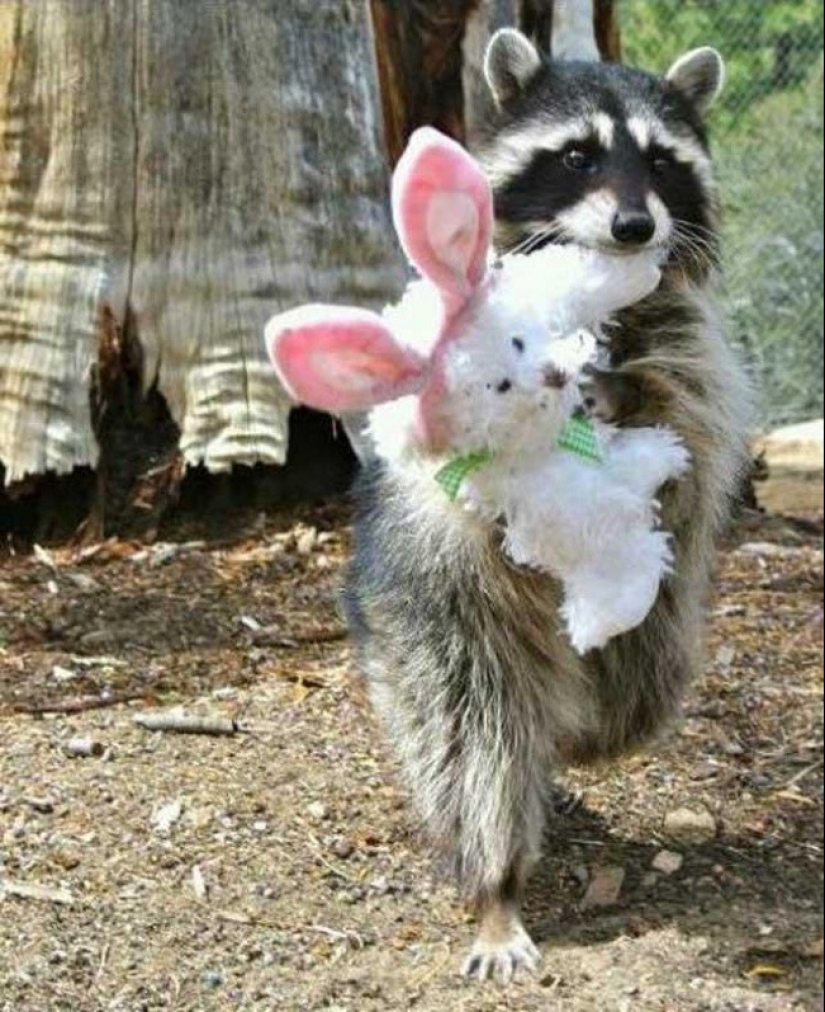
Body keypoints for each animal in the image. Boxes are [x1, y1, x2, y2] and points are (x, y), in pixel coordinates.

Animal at [343, 30, 753, 983]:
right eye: (577, 156)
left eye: (660, 161)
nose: (635, 228)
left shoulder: (682, 336)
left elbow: (690, 416)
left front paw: (627, 397)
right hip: (441, 612)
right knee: (474, 735)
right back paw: (496, 886)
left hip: (654, 625)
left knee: (637, 691)